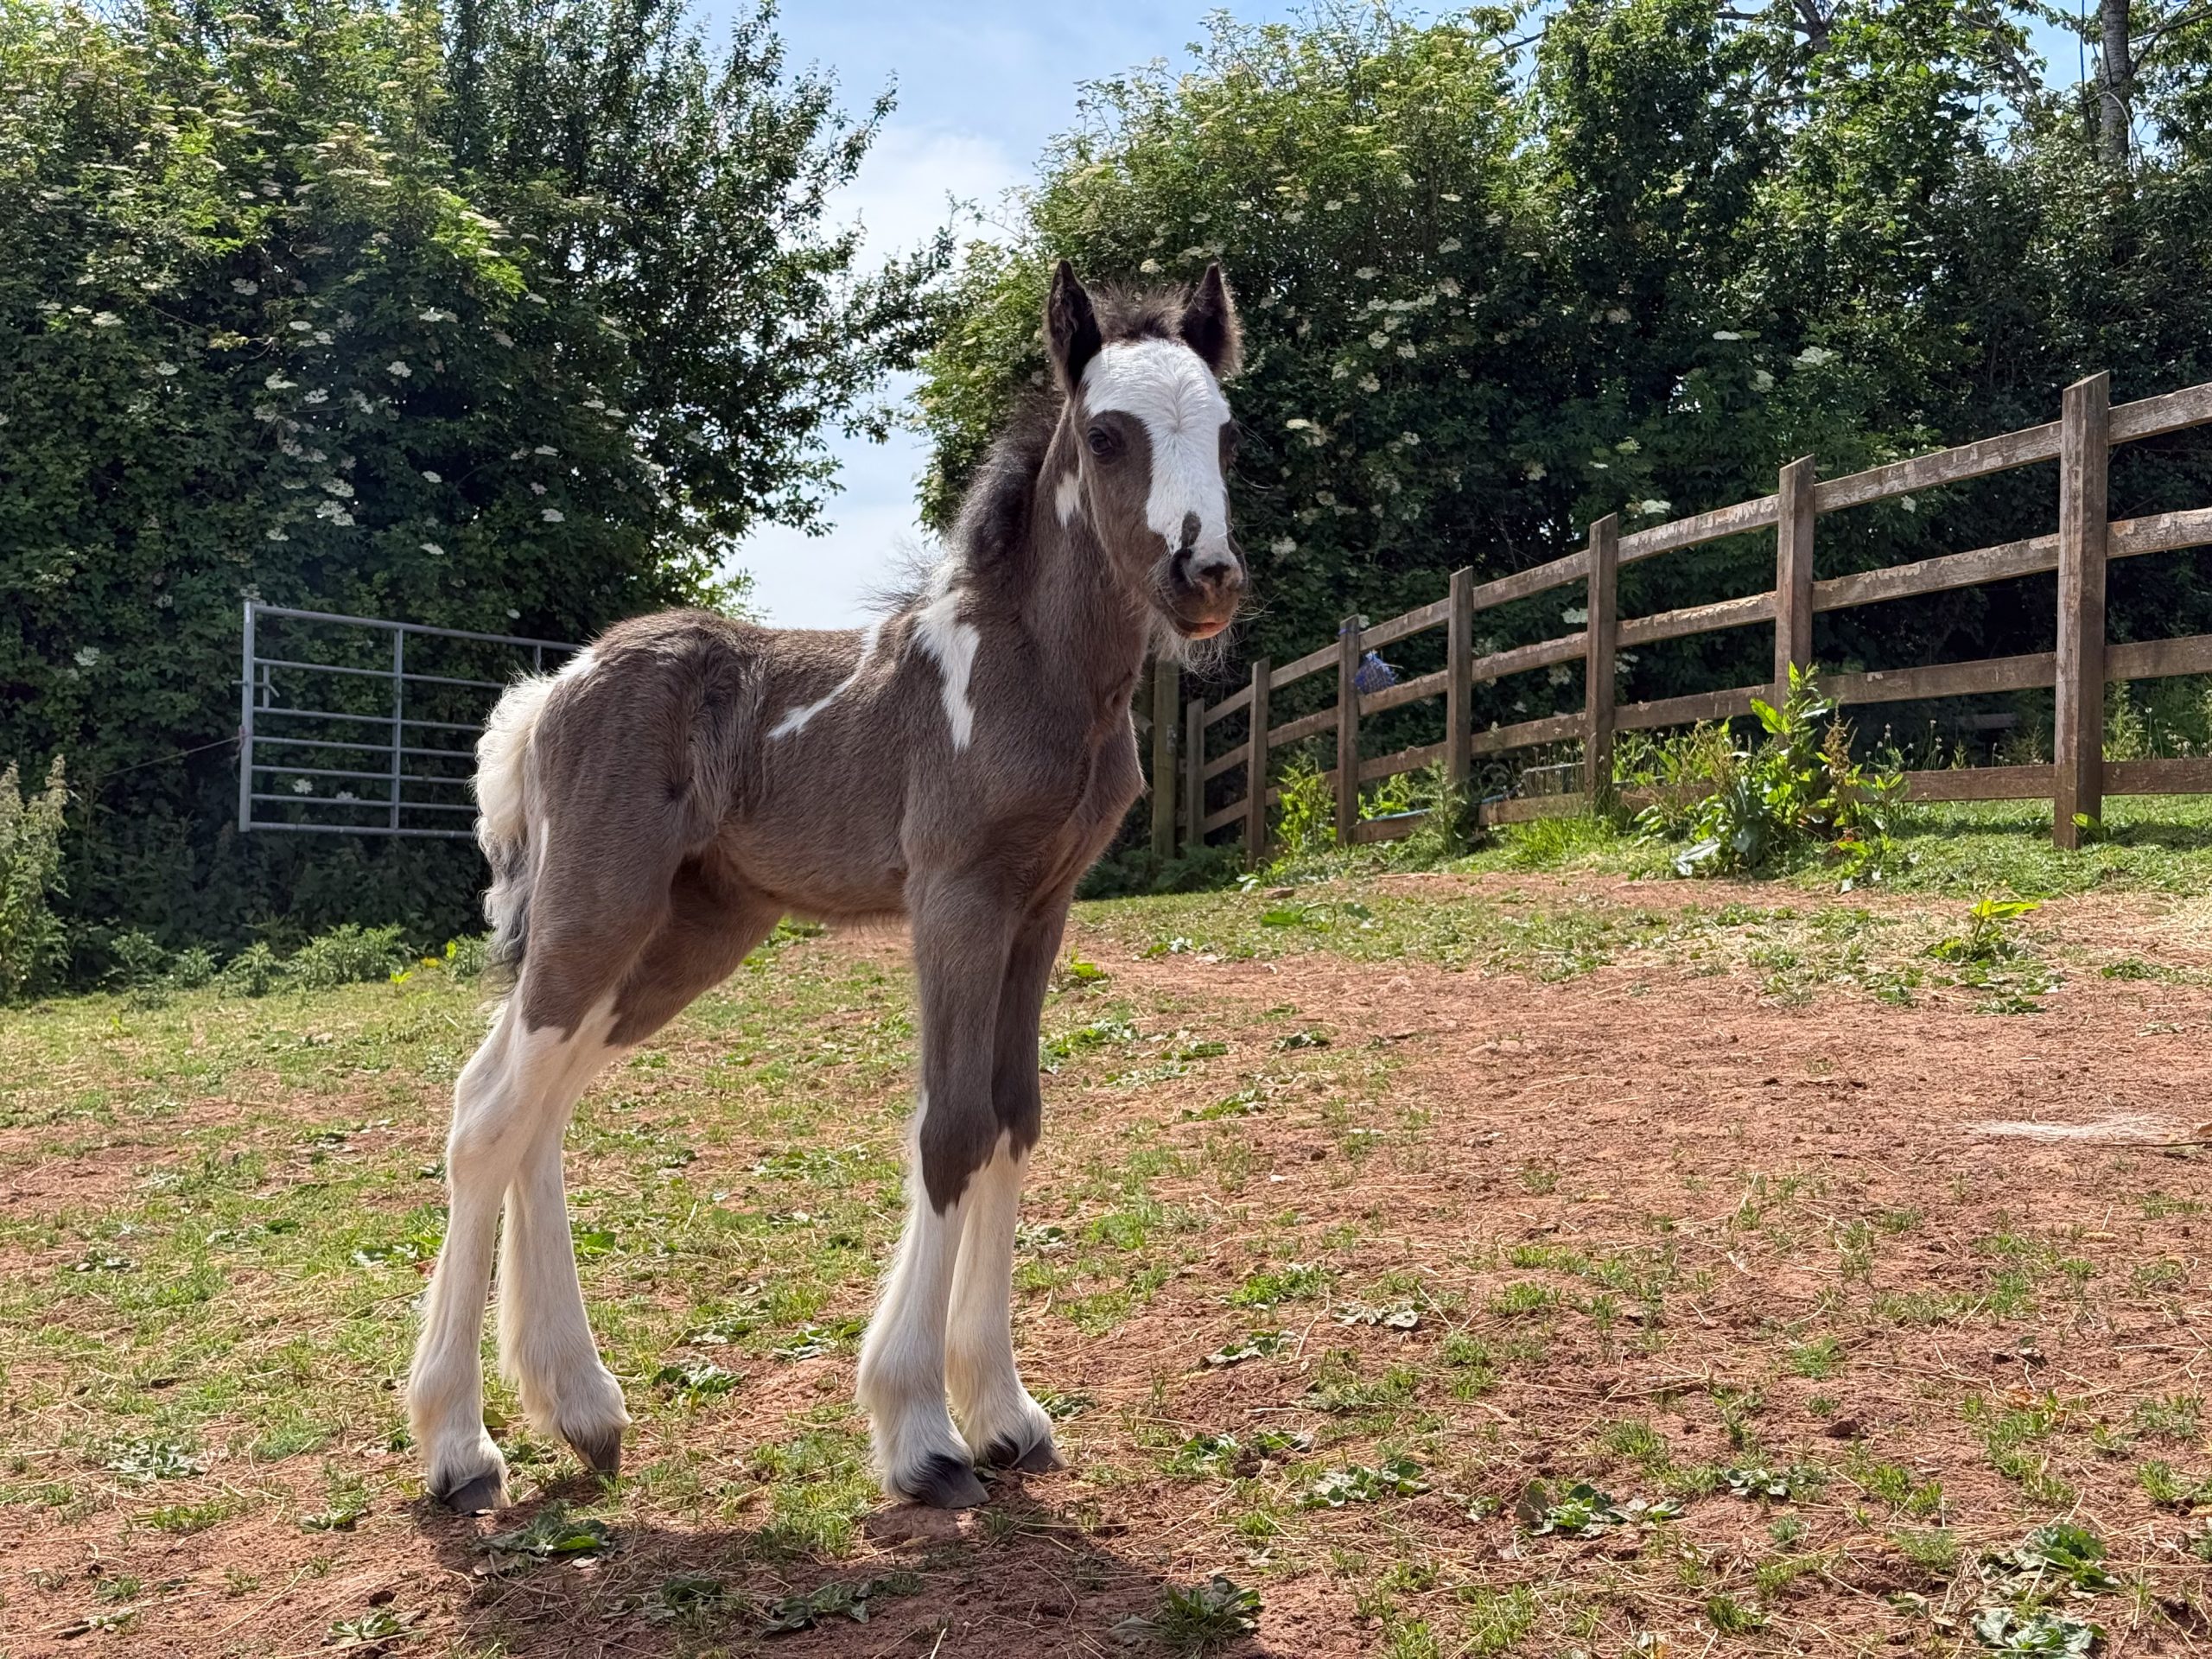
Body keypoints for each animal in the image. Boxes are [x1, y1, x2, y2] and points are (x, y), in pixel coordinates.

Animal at [407, 262, 1248, 1512]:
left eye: (1228, 432)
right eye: (1107, 435)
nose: (1208, 578)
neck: (1029, 675)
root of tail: (554, 686)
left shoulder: (1041, 909)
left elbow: (1016, 1116)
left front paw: (1004, 1412)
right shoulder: (956, 899)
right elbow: (953, 1126)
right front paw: (922, 1433)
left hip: (683, 933)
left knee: (531, 1106)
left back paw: (581, 1408)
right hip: (598, 912)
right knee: (489, 1114)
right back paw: (460, 1446)